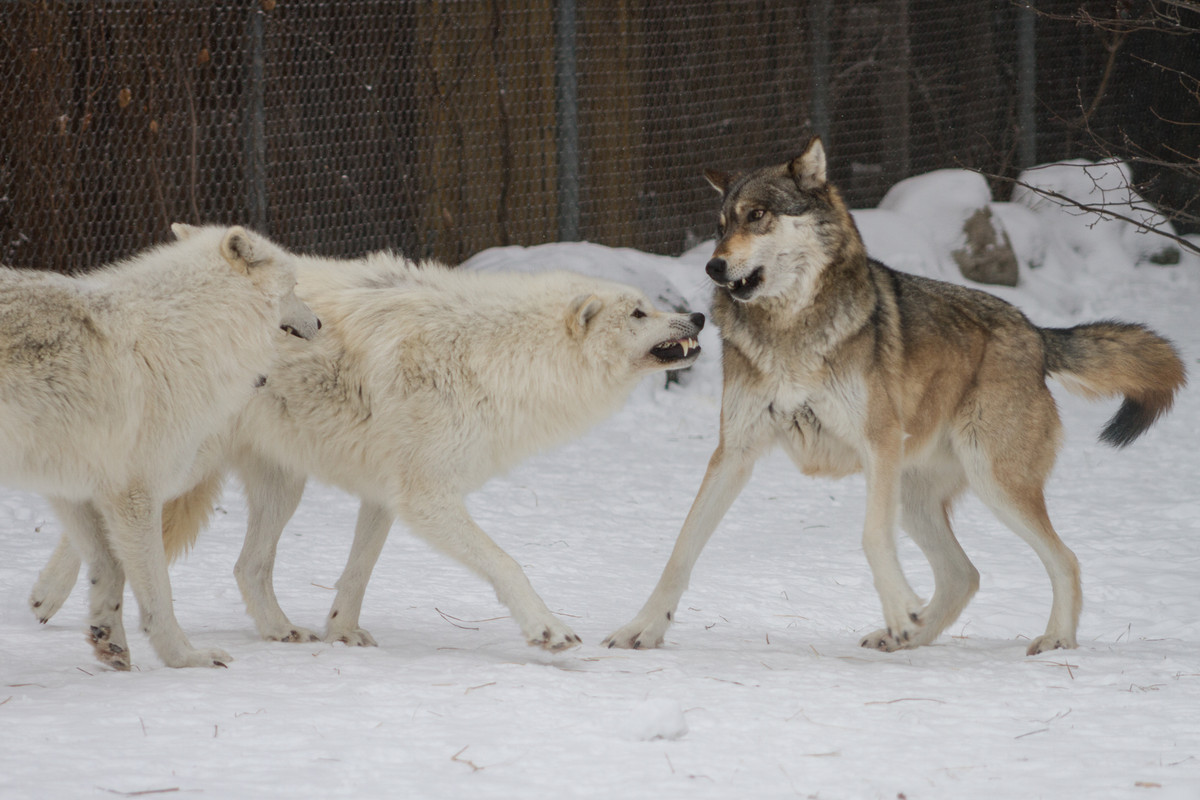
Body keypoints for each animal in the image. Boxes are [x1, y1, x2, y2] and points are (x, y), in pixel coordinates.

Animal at [2, 225, 321, 671]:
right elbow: (158, 591)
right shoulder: (136, 495)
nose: (319, 322)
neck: (186, 332)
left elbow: (108, 569)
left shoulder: (78, 488)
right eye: (293, 287)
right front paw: (186, 657)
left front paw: (110, 642)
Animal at [35, 231, 700, 652]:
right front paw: (547, 630)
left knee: (247, 565)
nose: (695, 317)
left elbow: (356, 574)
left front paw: (342, 634)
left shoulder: (386, 494)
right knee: (101, 518)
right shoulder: (427, 498)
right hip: (181, 464)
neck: (503, 355)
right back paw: (47, 599)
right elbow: (507, 563)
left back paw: (279, 631)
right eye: (638, 314)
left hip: (280, 484)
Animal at [604, 139, 1185, 657]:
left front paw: (899, 608)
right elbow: (680, 549)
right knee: (965, 574)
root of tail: (1037, 333)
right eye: (722, 226)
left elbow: (871, 537)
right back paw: (908, 636)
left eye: (759, 215)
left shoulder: (877, 444)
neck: (790, 331)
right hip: (917, 497)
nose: (714, 267)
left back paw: (1053, 639)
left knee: (1064, 560)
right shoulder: (734, 453)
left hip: (990, 481)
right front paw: (641, 629)